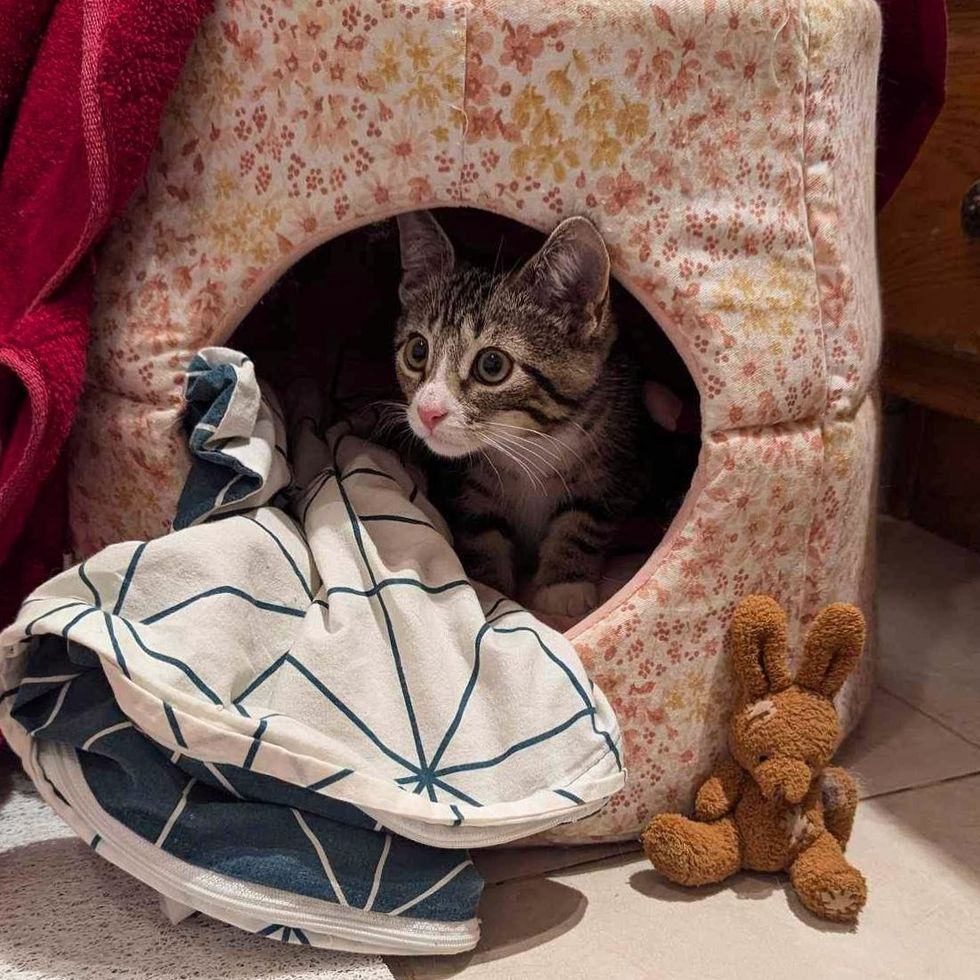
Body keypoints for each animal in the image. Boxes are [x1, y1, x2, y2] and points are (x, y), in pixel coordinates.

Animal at [390, 212, 652, 616]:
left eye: (492, 365)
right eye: (417, 351)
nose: (428, 411)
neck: (530, 445)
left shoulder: (619, 458)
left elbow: (586, 518)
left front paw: (564, 585)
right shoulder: (464, 488)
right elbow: (481, 532)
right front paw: (489, 589)